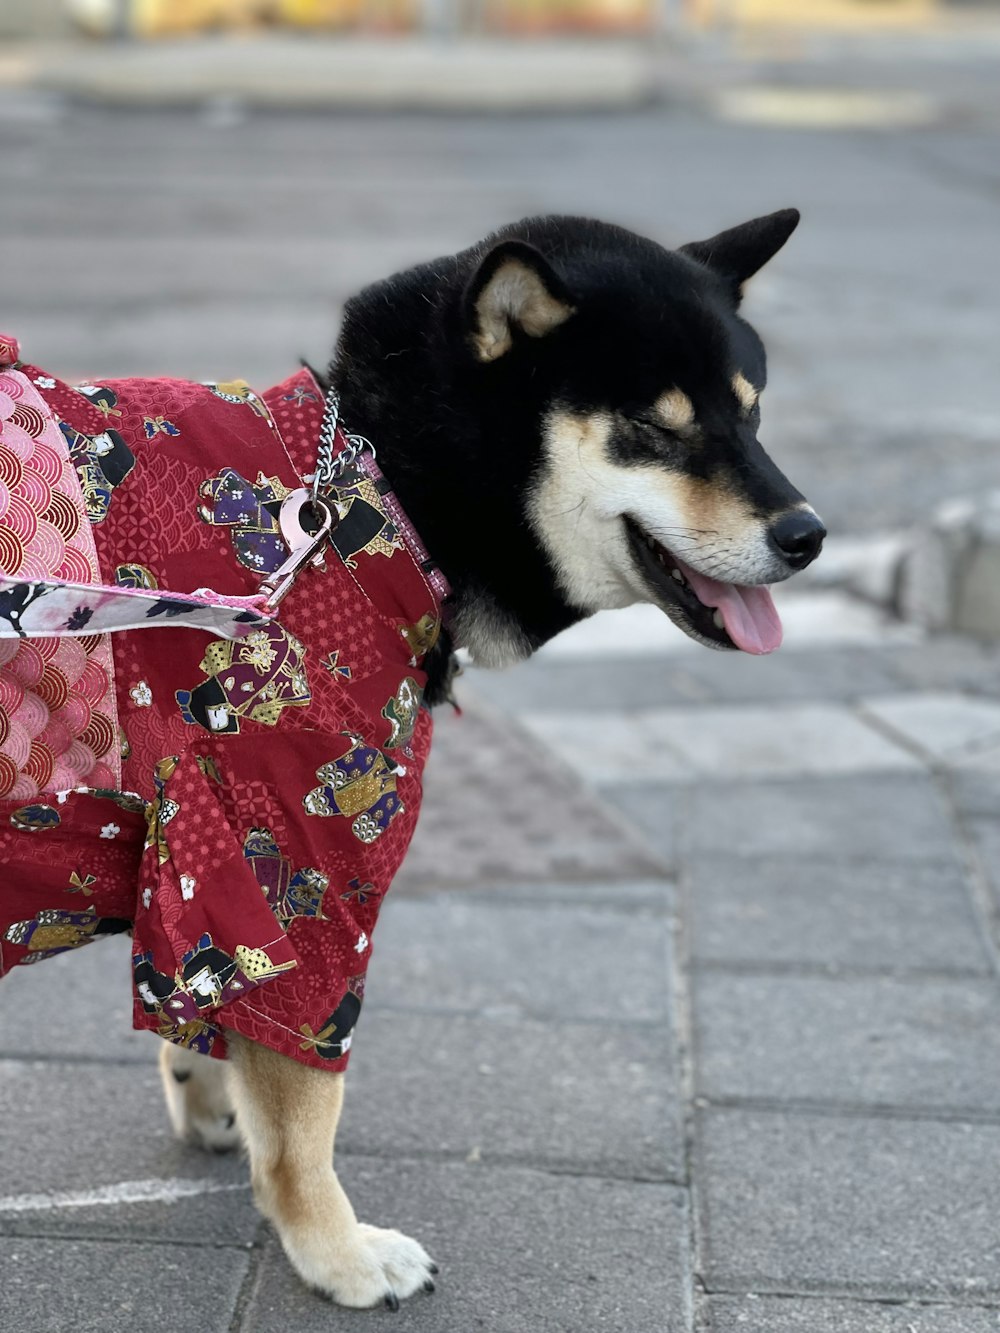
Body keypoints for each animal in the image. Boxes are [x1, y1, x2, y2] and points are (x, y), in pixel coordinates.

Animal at [0, 210, 821, 1311]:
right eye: (658, 428)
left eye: (753, 415)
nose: (809, 533)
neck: (375, 499)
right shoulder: (291, 855)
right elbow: (308, 1109)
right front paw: (337, 1250)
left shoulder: (202, 870)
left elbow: (208, 1013)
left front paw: (208, 1095)